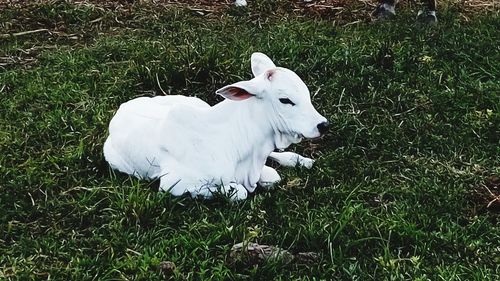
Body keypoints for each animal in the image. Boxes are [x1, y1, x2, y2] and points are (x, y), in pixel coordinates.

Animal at [102, 52, 328, 200]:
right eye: (285, 100)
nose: (323, 124)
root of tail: (123, 107)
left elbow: (273, 176)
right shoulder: (172, 185)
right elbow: (239, 192)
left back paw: (301, 161)